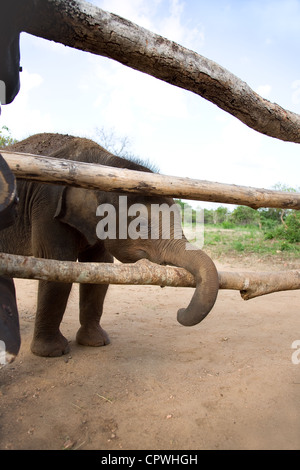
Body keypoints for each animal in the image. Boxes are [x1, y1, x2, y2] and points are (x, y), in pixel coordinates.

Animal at [0, 134, 218, 358]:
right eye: (141, 225)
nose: (179, 312)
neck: (99, 164)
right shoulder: (47, 207)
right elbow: (57, 263)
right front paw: (52, 352)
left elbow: (100, 267)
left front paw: (96, 342)